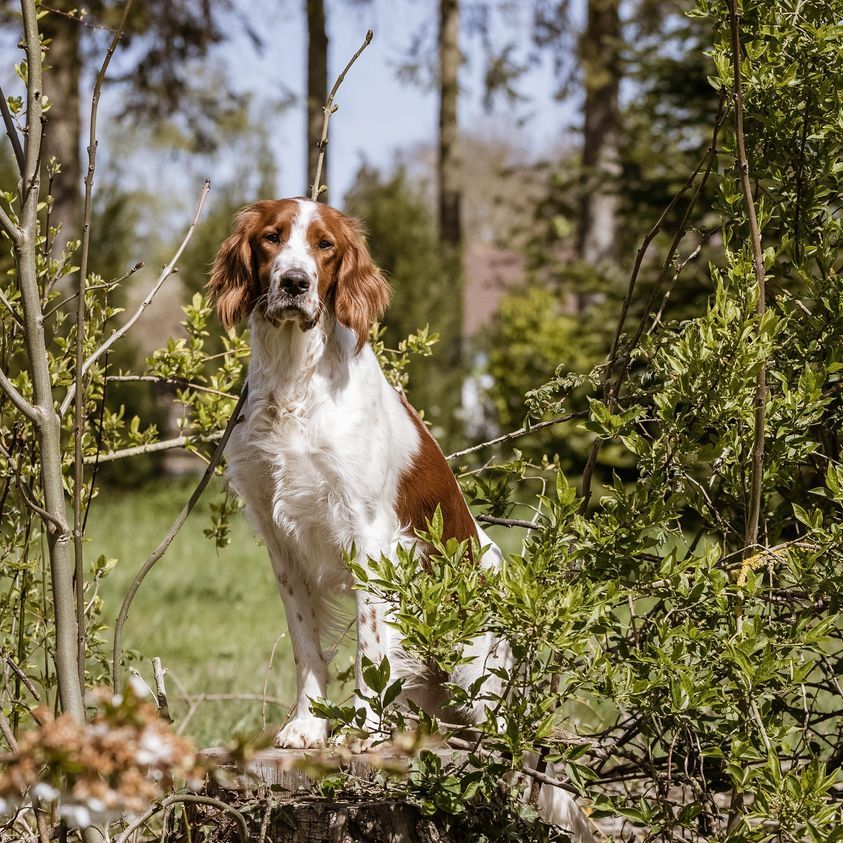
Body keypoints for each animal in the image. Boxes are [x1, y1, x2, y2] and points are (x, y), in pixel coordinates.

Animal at [209, 199, 592, 843]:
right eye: (271, 238)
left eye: (325, 245)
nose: (295, 283)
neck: (295, 381)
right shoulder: (281, 542)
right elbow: (307, 645)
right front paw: (306, 727)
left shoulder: (366, 534)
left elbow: (370, 646)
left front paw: (362, 727)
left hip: (474, 668)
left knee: (506, 746)